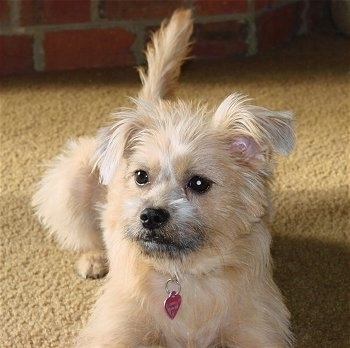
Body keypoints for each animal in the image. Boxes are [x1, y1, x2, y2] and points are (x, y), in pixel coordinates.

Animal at [33, 8, 296, 348]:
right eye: (141, 176)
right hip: (71, 181)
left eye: (198, 183)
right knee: (85, 234)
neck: (181, 276)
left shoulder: (256, 329)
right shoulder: (117, 330)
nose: (150, 216)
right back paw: (93, 259)